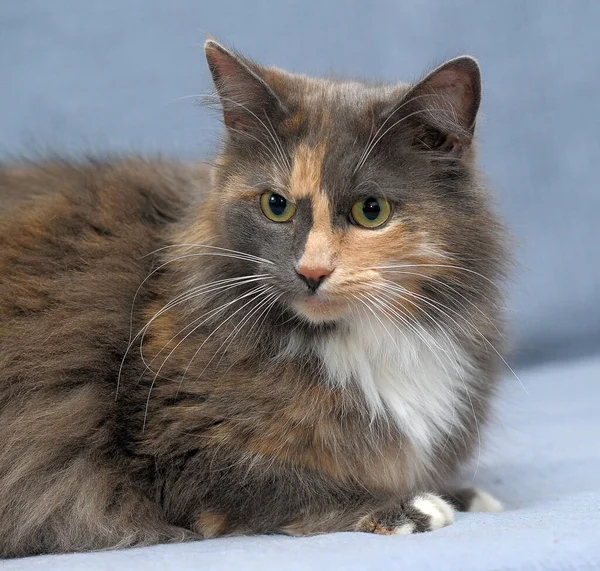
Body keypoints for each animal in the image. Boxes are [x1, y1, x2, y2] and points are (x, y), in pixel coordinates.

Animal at [0, 41, 506, 560]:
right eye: (275, 206)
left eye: (372, 211)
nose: (311, 272)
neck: (356, 340)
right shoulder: (176, 452)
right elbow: (289, 481)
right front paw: (412, 505)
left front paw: (465, 494)